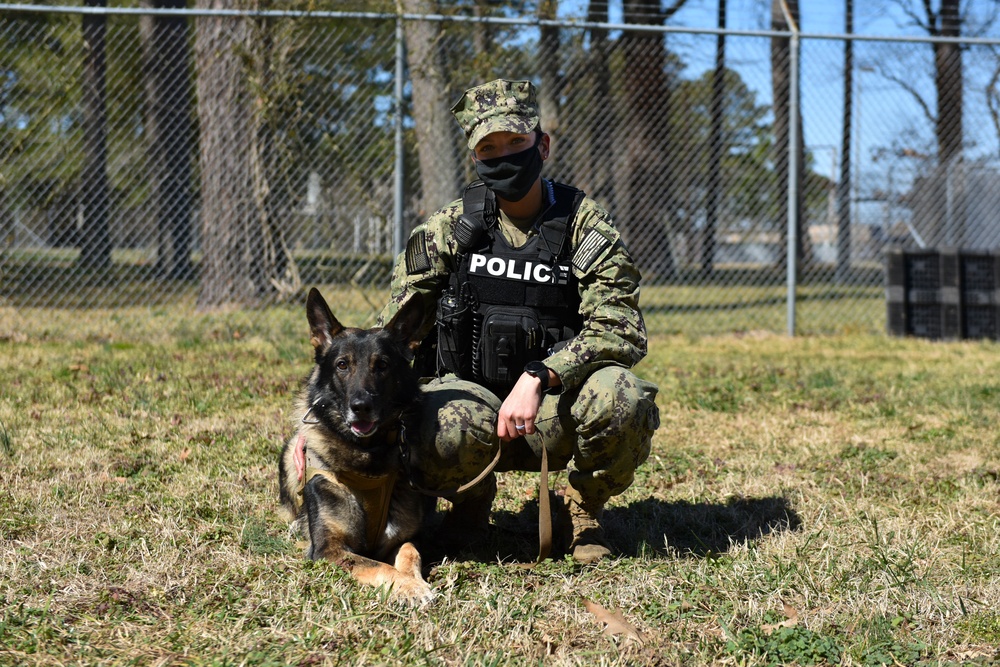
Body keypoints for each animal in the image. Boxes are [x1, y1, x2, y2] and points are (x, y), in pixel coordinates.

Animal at [276, 288, 432, 604]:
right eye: (342, 365)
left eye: (382, 365)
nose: (361, 407)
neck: (366, 454)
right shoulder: (330, 550)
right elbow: (380, 566)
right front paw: (409, 587)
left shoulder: (405, 537)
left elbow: (410, 554)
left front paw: (415, 582)